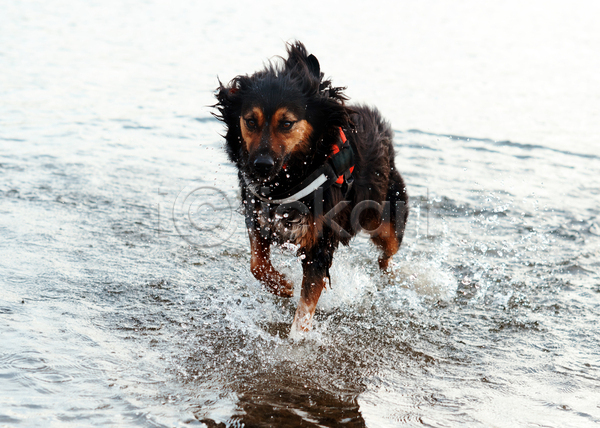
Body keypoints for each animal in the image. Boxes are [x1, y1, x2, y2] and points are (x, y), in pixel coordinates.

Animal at [214, 41, 408, 334]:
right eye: (250, 121)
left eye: (286, 123)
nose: (261, 165)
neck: (289, 179)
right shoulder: (258, 217)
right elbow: (256, 264)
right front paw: (281, 285)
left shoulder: (319, 243)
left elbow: (305, 307)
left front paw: (296, 338)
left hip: (383, 217)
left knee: (388, 251)